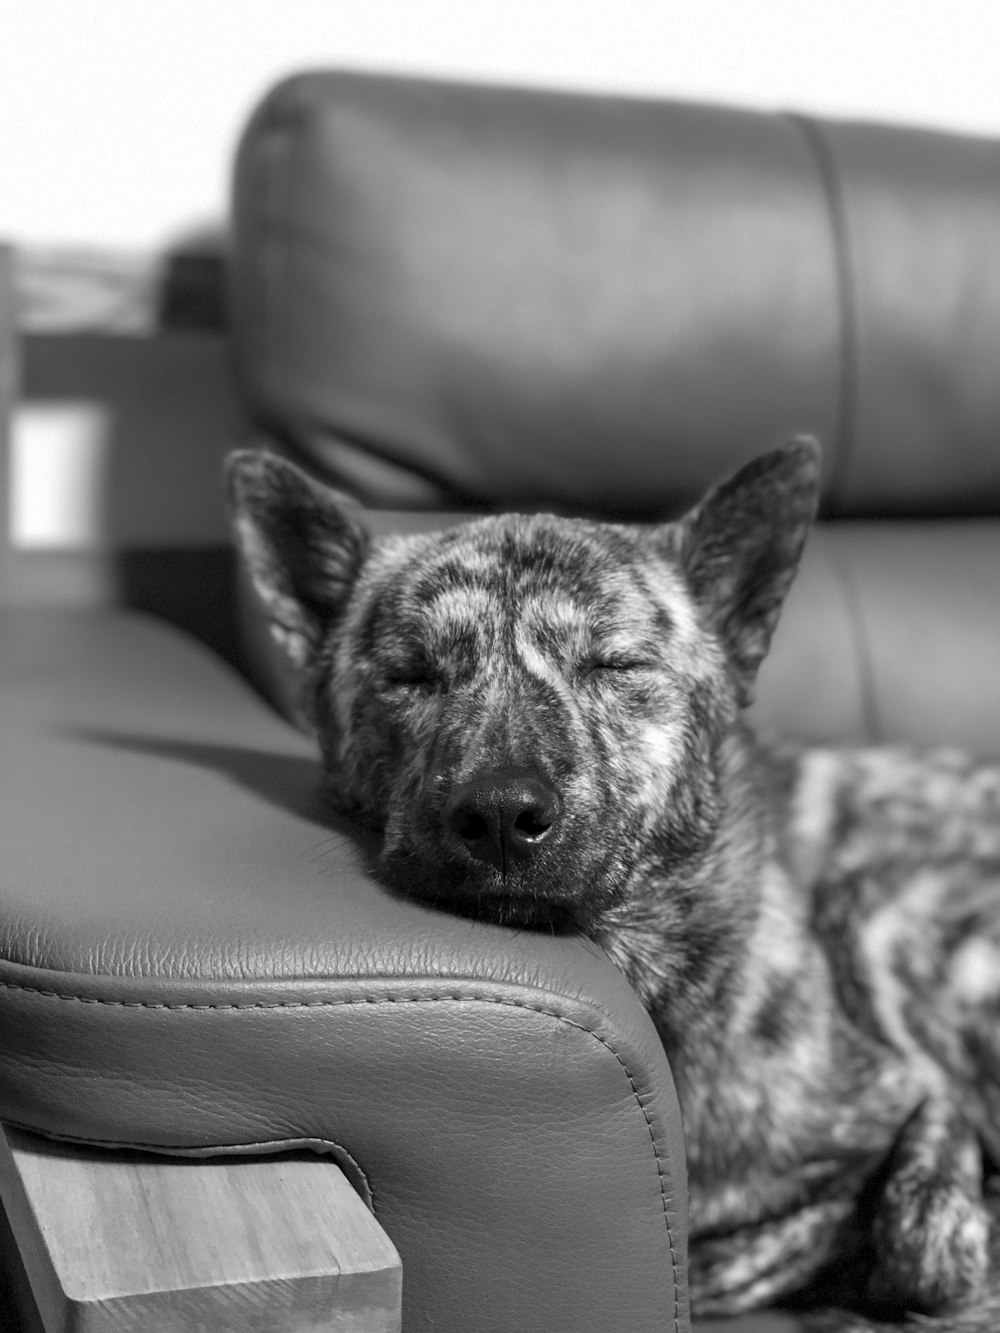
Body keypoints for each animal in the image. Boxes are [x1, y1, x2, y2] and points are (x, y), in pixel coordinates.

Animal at [230, 445, 1000, 1333]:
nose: (501, 813)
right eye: (410, 675)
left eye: (616, 664)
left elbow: (921, 1236)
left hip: (880, 907)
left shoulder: (916, 1098)